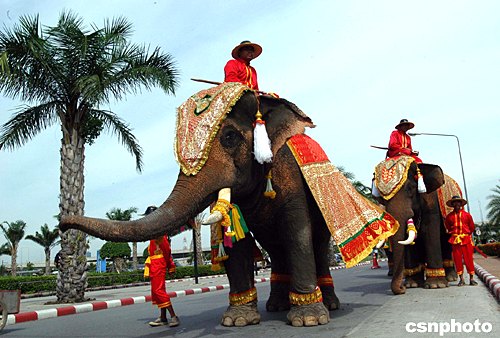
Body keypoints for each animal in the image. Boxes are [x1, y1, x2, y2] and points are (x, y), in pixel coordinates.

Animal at [60, 82, 394, 328]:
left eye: (231, 137)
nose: (63, 223)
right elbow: (238, 242)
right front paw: (238, 321)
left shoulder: (291, 175)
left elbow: (296, 233)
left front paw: (309, 319)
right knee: (276, 249)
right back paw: (276, 306)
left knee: (317, 243)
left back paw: (329, 304)